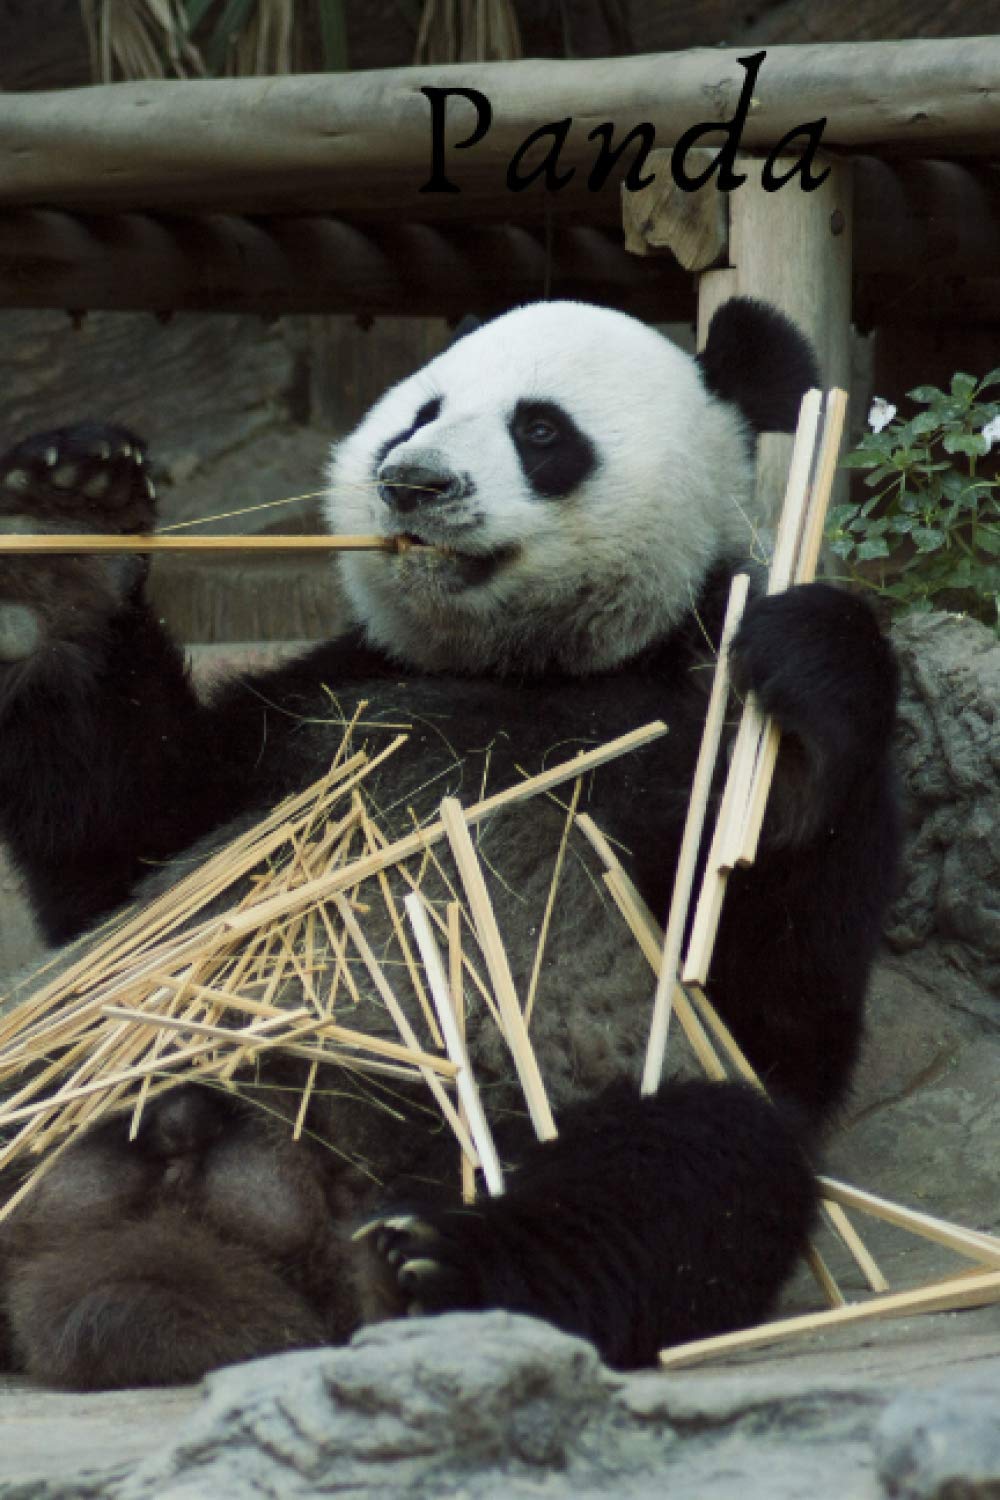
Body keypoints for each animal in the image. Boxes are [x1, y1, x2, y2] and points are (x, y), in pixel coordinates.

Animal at [0, 297, 899, 1389]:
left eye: (541, 430)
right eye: (417, 413)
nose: (413, 482)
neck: (529, 665)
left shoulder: (685, 721)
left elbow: (779, 1005)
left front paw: (808, 676)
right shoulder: (324, 704)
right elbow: (120, 849)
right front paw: (66, 527)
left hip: (511, 1113)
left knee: (696, 1163)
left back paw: (434, 1268)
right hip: (59, 1061)